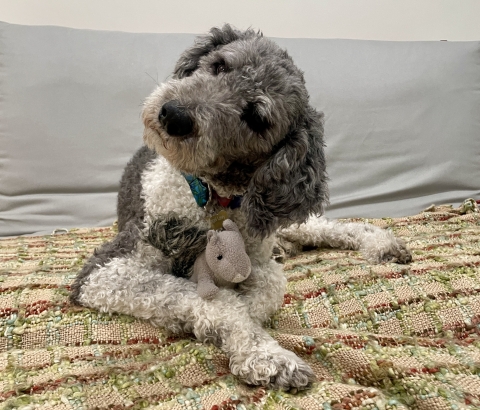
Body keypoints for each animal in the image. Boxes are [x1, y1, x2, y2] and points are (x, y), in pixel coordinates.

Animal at [69, 25, 410, 390]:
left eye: (256, 118)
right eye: (219, 65)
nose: (174, 115)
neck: (211, 196)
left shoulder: (256, 258)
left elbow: (264, 291)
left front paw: (255, 341)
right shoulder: (107, 267)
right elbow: (207, 298)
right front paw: (263, 352)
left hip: (275, 219)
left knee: (329, 226)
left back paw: (383, 244)